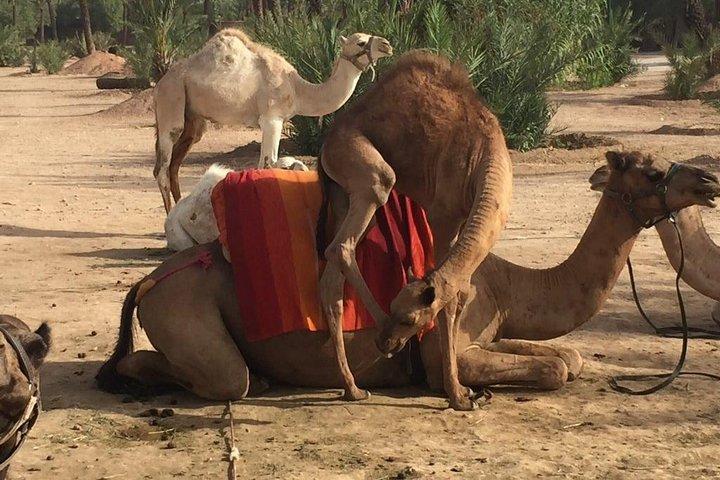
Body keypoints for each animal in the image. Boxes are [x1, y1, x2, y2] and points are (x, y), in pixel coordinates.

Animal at [96, 151, 720, 404]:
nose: (708, 179)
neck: (507, 283)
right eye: (652, 171)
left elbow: (570, 357)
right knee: (218, 376)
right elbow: (552, 369)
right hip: (185, 312)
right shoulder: (450, 348)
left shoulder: (489, 329)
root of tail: (148, 281)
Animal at [154, 28, 393, 213]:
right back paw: (169, 221)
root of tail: (160, 83)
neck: (298, 89)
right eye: (360, 41)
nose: (387, 44)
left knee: (174, 164)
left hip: (193, 119)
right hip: (171, 99)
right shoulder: (271, 119)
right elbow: (267, 164)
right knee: (163, 167)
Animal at [318, 51, 513, 410]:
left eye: (409, 319)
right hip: (363, 168)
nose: (385, 343)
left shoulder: (465, 221)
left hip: (342, 192)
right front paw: (457, 395)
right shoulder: (443, 216)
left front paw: (463, 390)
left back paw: (352, 388)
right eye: (397, 308)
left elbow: (460, 293)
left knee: (331, 275)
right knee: (346, 240)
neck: (485, 157)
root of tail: (327, 141)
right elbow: (448, 296)